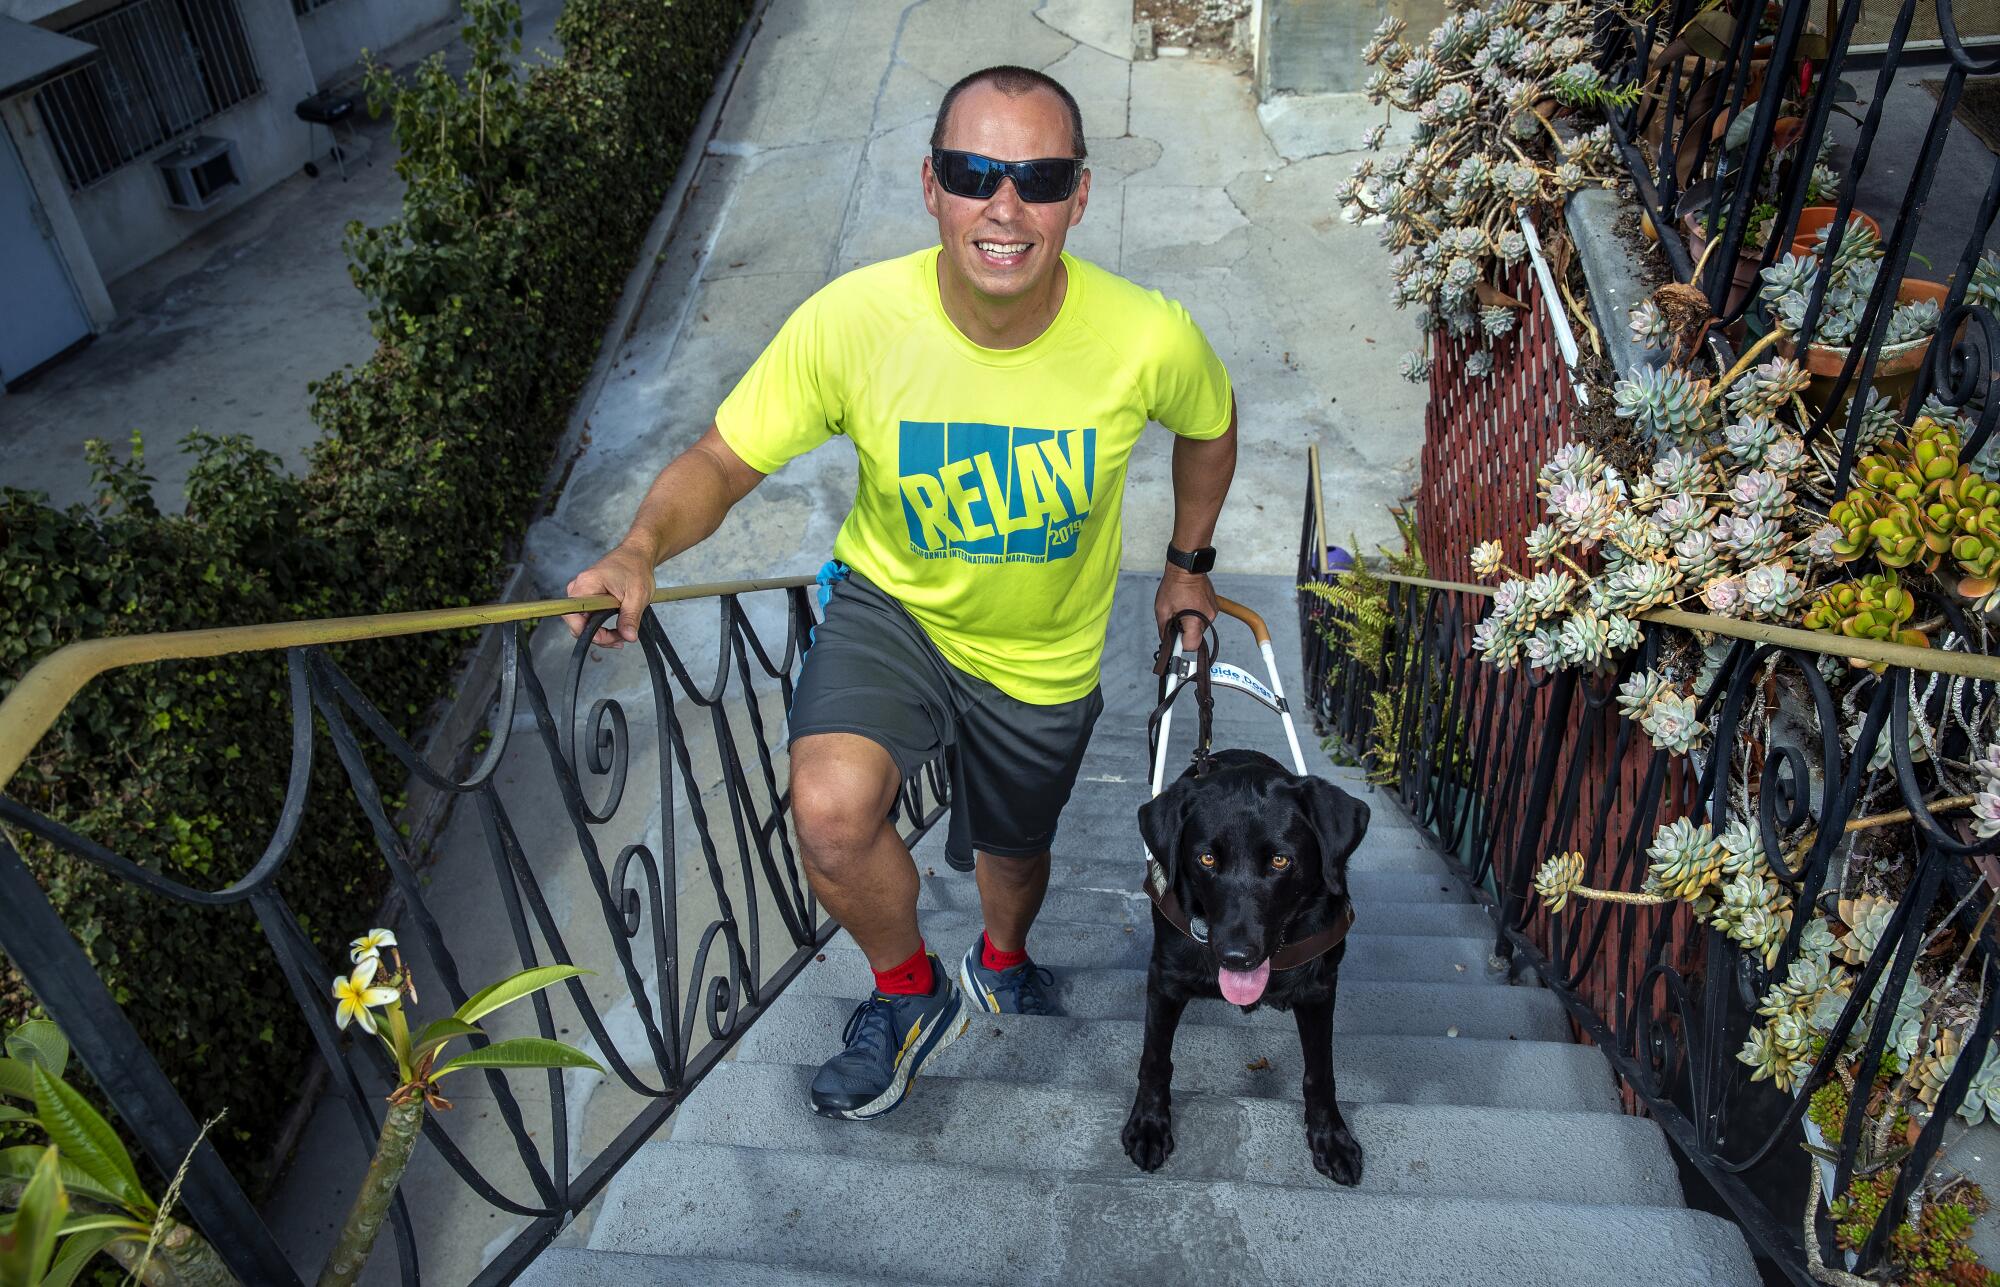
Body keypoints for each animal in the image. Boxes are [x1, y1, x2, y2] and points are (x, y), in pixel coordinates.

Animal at [1120, 747, 1368, 1183]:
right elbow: (1154, 1058)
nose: (1236, 957)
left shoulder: (1320, 990)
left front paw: (1331, 1138)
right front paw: (1149, 1125)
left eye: (1281, 861)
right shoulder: (1165, 980)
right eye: (1206, 858)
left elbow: (1320, 1071)